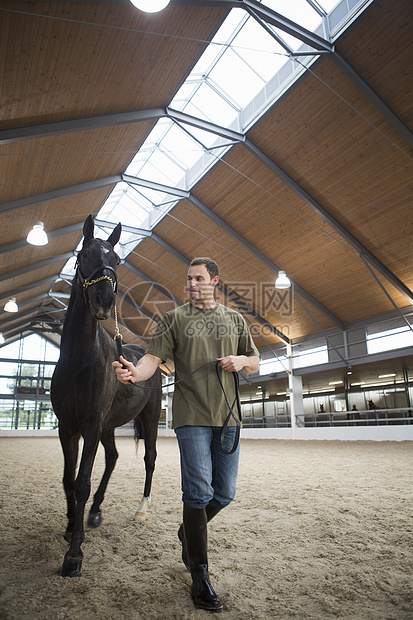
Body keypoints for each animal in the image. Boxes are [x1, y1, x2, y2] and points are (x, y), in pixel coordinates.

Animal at [51, 217, 161, 576]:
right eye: (84, 255)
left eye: (117, 260)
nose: (103, 301)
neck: (78, 358)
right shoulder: (68, 427)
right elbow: (68, 480)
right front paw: (71, 526)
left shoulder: (90, 424)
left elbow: (82, 482)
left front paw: (74, 554)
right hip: (109, 426)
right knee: (112, 457)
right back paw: (96, 510)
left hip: (148, 419)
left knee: (149, 459)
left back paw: (141, 510)